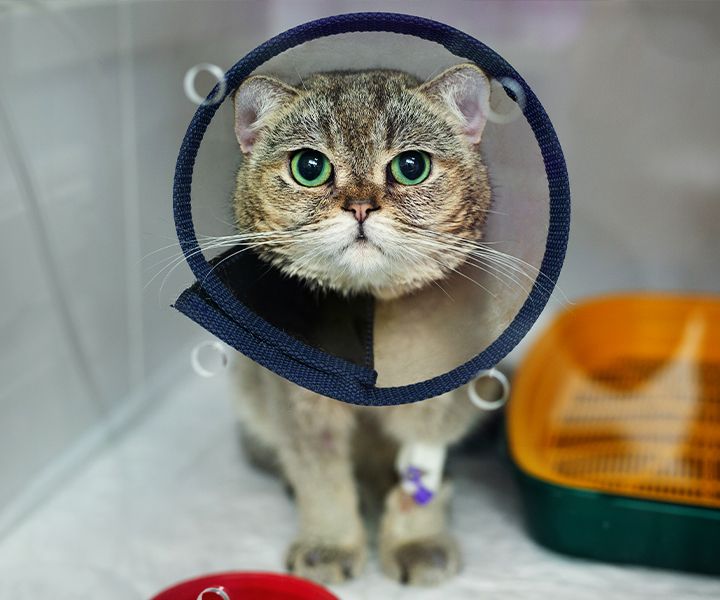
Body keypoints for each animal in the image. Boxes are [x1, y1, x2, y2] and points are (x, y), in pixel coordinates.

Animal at [229, 63, 496, 584]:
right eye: (309, 168)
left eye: (411, 167)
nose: (359, 207)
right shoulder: (300, 409)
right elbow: (322, 481)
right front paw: (329, 547)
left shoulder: (438, 400)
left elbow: (419, 475)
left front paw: (416, 542)